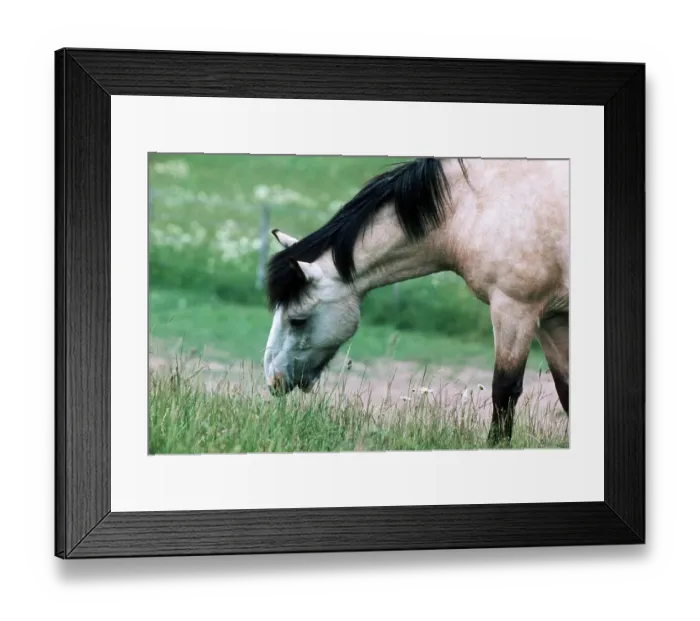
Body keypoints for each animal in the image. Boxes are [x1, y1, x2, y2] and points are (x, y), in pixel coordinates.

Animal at [262, 157, 569, 446]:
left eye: (297, 320)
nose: (273, 379)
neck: (477, 204)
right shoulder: (550, 318)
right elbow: (565, 389)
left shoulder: (515, 309)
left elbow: (504, 390)